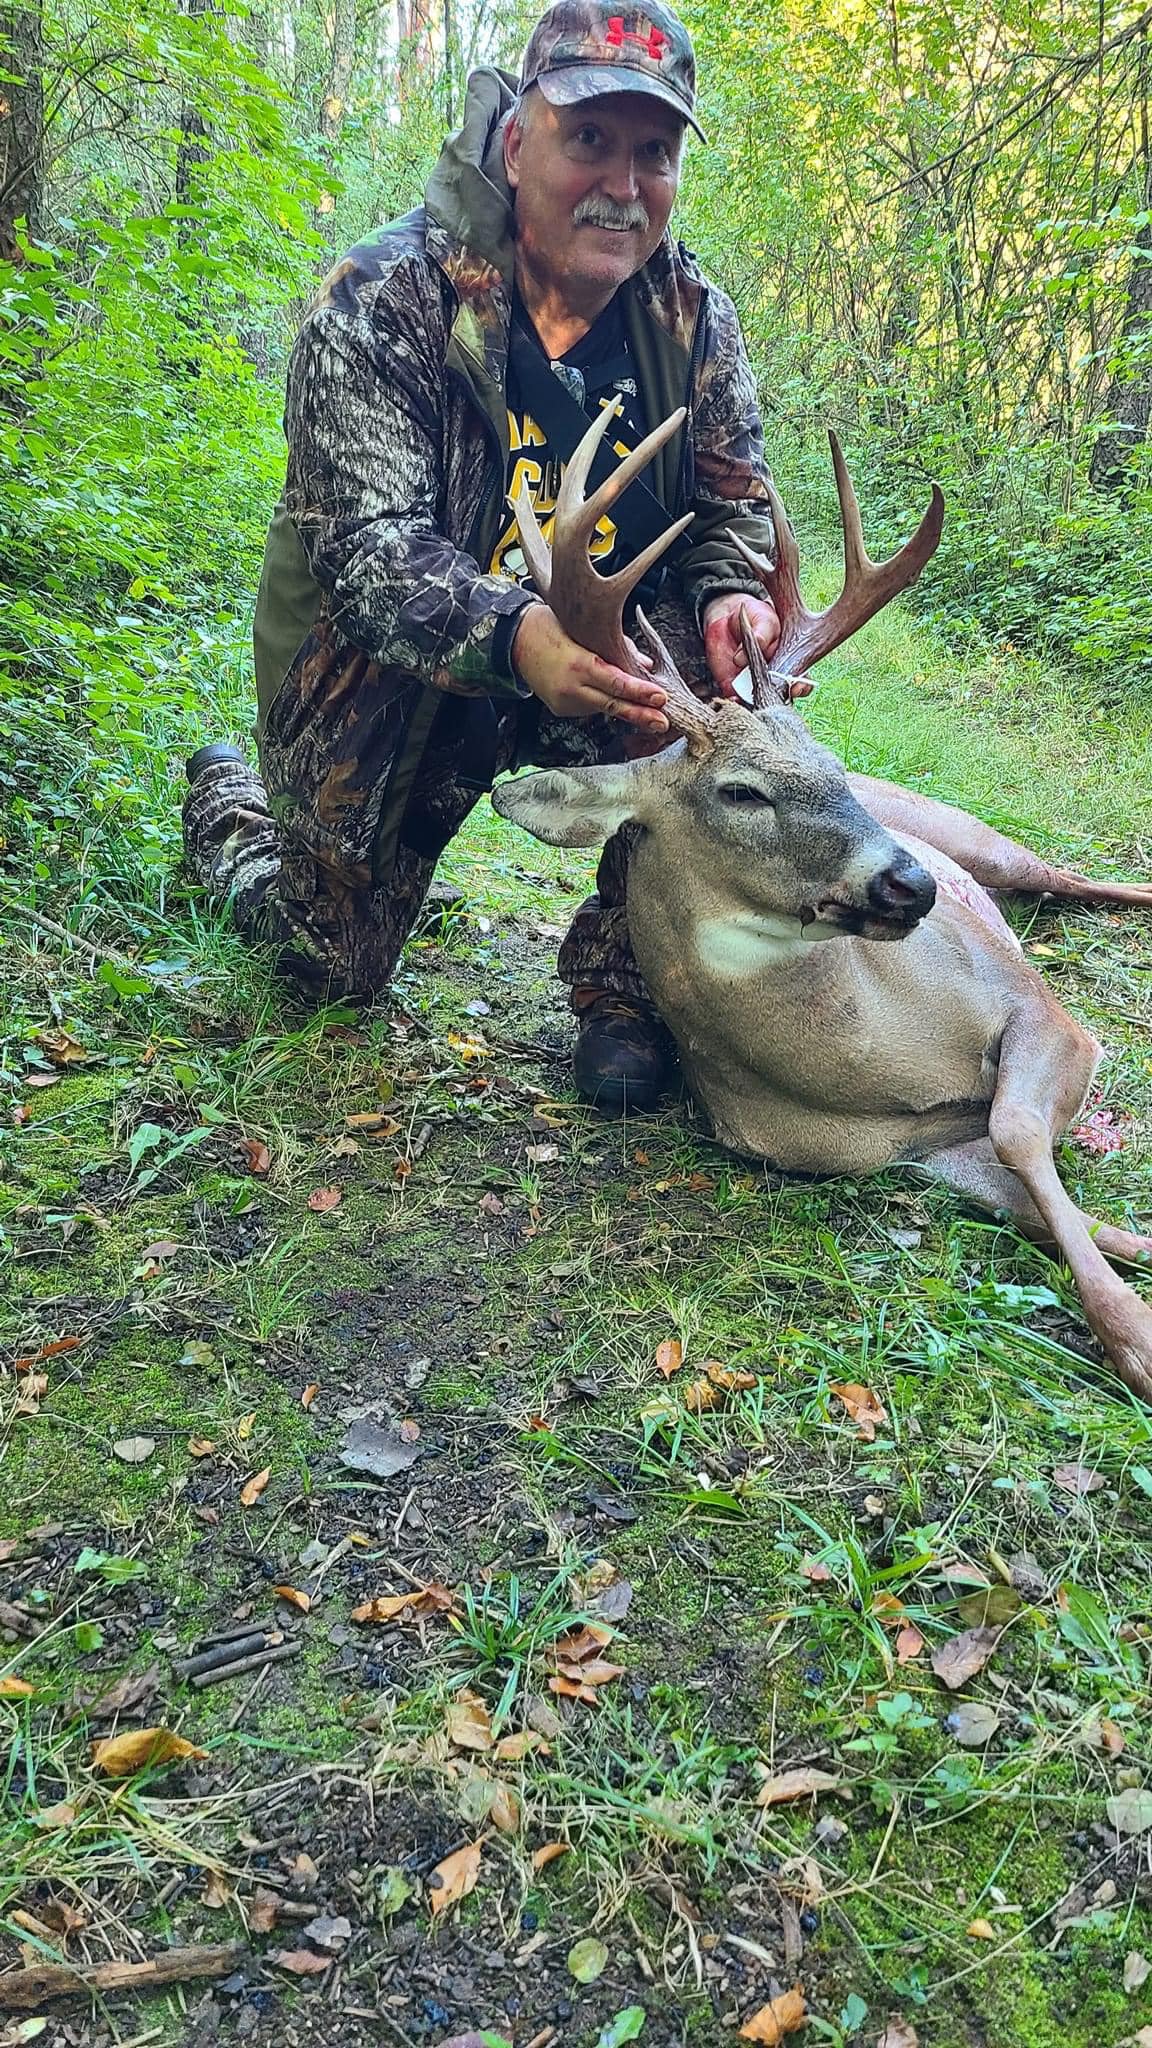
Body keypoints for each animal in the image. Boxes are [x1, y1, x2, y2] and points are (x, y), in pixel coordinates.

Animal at [492, 404, 1152, 1402]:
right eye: (740, 792)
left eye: (830, 760)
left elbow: (1022, 1133)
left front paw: (1137, 1340)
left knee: (1068, 877)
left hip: (987, 840)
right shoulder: (923, 1155)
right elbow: (1053, 1203)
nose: (911, 882)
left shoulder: (1044, 1012)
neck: (884, 1067)